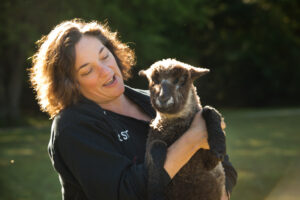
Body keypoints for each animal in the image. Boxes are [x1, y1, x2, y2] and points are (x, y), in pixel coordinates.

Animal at [139, 58, 226, 200]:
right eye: (154, 81)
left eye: (182, 80)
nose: (163, 98)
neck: (177, 127)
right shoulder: (149, 152)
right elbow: (157, 145)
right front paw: (155, 189)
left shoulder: (211, 163)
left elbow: (209, 109)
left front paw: (219, 147)